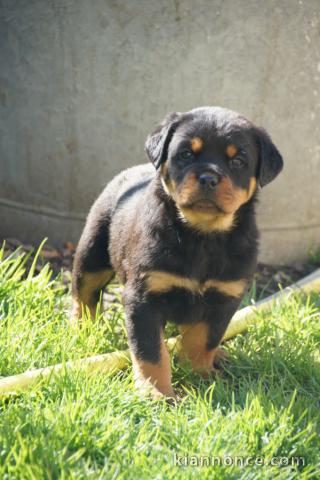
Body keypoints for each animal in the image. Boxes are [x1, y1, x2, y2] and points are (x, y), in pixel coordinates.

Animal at [72, 107, 282, 400]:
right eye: (186, 154)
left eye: (238, 160)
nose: (208, 178)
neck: (202, 236)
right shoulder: (143, 298)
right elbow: (150, 351)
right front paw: (155, 393)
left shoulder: (224, 298)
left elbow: (203, 341)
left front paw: (200, 376)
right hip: (92, 254)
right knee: (84, 295)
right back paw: (81, 332)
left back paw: (219, 356)